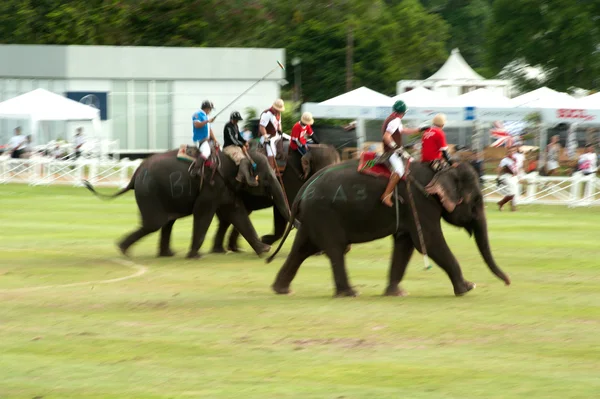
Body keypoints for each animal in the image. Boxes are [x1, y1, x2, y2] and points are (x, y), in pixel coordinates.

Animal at [83, 148, 290, 260]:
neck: (237, 156)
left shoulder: (225, 187)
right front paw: (195, 256)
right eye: (267, 179)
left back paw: (163, 254)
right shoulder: (212, 184)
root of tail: (135, 176)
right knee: (153, 224)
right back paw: (123, 249)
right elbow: (203, 212)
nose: (267, 241)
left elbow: (236, 212)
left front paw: (264, 250)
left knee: (165, 222)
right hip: (150, 192)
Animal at [268, 161, 510, 298]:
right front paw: (468, 288)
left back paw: (281, 289)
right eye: (476, 201)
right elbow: (430, 241)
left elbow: (405, 243)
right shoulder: (420, 203)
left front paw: (396, 293)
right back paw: (350, 293)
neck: (441, 170)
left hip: (313, 218)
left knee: (303, 248)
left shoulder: (411, 210)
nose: (508, 282)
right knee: (334, 249)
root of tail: (302, 190)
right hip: (325, 215)